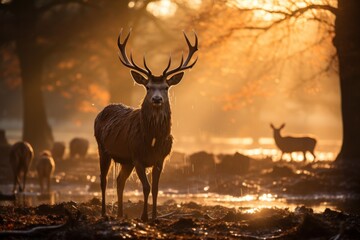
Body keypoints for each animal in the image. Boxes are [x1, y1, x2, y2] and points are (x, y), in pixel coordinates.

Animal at [94, 29, 198, 221]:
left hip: (125, 160)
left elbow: (156, 189)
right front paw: (144, 216)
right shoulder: (137, 156)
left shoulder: (160, 159)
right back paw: (104, 213)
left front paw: (155, 216)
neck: (152, 139)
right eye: (148, 87)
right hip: (103, 149)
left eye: (166, 87)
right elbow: (146, 187)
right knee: (103, 180)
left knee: (119, 180)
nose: (157, 99)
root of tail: (101, 112)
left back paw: (120, 214)